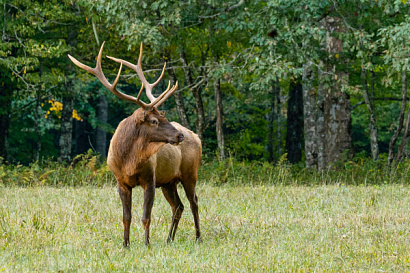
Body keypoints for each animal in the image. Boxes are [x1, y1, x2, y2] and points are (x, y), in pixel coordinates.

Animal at [68, 43, 202, 246]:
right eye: (154, 120)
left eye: (163, 116)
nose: (180, 136)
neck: (128, 161)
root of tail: (197, 137)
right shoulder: (121, 182)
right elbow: (126, 217)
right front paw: (125, 245)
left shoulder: (150, 180)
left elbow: (146, 216)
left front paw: (146, 244)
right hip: (168, 181)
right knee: (178, 206)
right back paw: (169, 239)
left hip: (189, 173)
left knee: (194, 201)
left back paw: (198, 237)